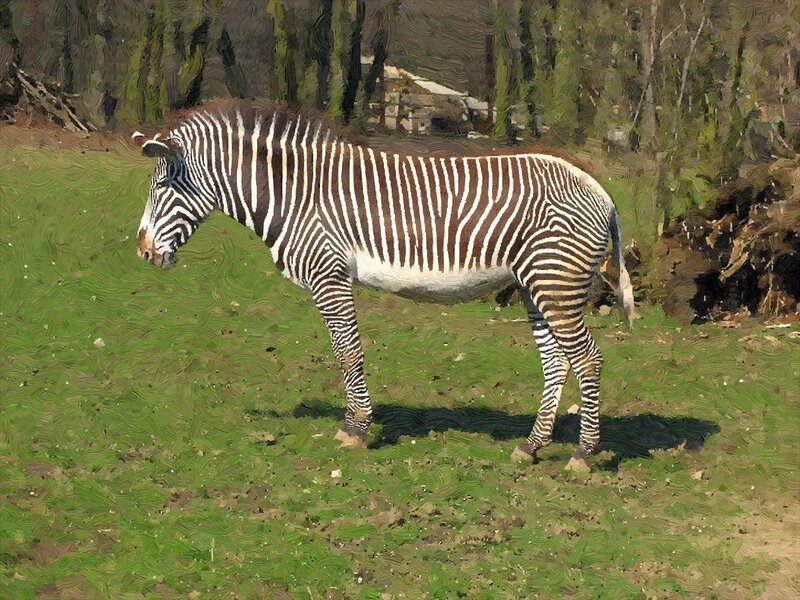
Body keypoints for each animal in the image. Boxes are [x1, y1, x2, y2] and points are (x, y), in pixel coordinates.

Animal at [133, 103, 635, 472]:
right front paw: (352, 423)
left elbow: (347, 352)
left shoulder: (329, 275)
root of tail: (602, 192)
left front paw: (355, 429)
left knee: (587, 361)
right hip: (538, 286)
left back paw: (583, 454)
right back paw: (530, 446)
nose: (142, 252)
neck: (295, 196)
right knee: (557, 363)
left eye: (163, 187)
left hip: (556, 284)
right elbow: (345, 352)